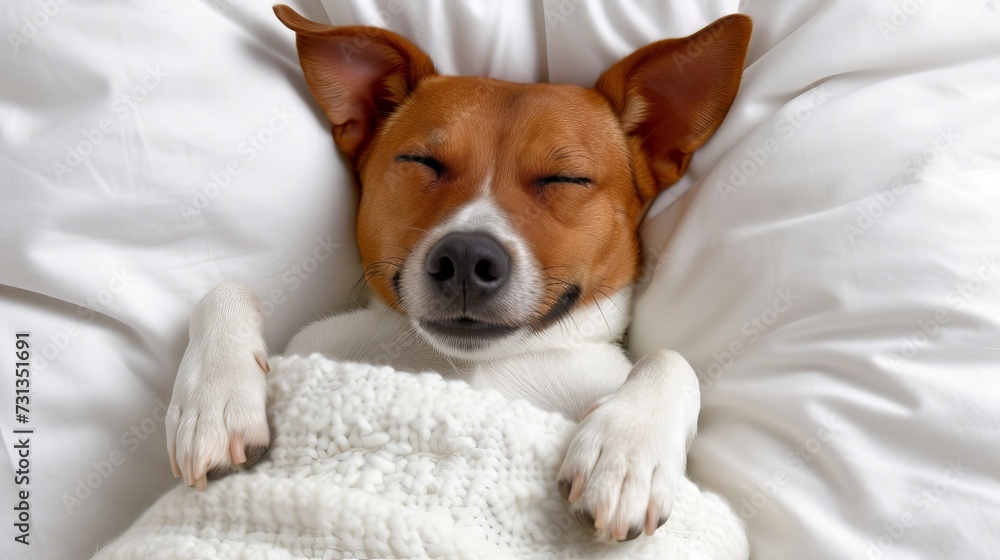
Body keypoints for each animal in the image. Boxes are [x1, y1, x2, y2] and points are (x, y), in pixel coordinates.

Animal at [166, 4, 752, 544]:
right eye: (421, 161)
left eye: (565, 178)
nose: (468, 257)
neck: (472, 366)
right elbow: (227, 290)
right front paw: (215, 402)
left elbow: (670, 359)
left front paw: (627, 449)